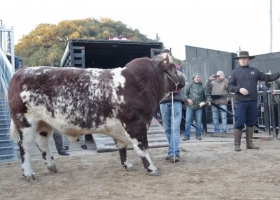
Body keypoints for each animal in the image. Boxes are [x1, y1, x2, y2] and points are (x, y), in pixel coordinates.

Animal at [7, 53, 185, 180]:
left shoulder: (119, 128)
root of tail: (24, 69)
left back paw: (52, 166)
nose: (184, 79)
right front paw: (152, 168)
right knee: (24, 147)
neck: (139, 83)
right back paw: (28, 173)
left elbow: (122, 148)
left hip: (44, 123)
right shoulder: (137, 124)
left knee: (43, 144)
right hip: (25, 123)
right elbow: (143, 148)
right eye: (172, 67)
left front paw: (127, 165)